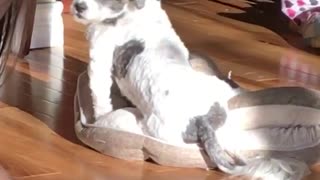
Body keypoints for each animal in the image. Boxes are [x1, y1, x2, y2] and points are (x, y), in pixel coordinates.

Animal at [70, 0, 308, 179]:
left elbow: (100, 97)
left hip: (145, 123)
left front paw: (97, 121)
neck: (135, 10)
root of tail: (203, 121)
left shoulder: (99, 58)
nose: (78, 6)